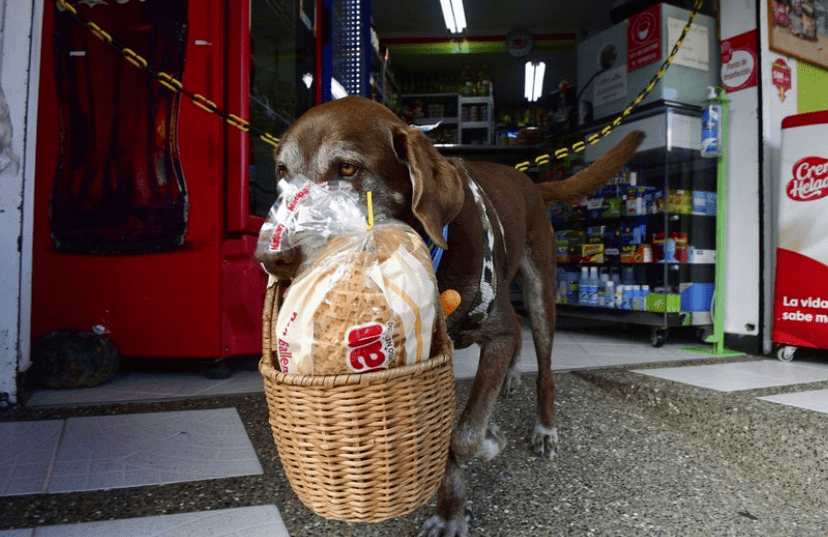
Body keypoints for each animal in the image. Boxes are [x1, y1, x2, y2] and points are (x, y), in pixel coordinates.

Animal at [268, 96, 644, 536]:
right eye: (282, 173)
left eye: (347, 168)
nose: (271, 259)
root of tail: (529, 180)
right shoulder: (429, 362)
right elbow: (445, 443)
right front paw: (451, 512)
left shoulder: (498, 333)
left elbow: (465, 435)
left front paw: (490, 441)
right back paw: (510, 380)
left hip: (541, 290)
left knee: (544, 363)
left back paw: (544, 427)